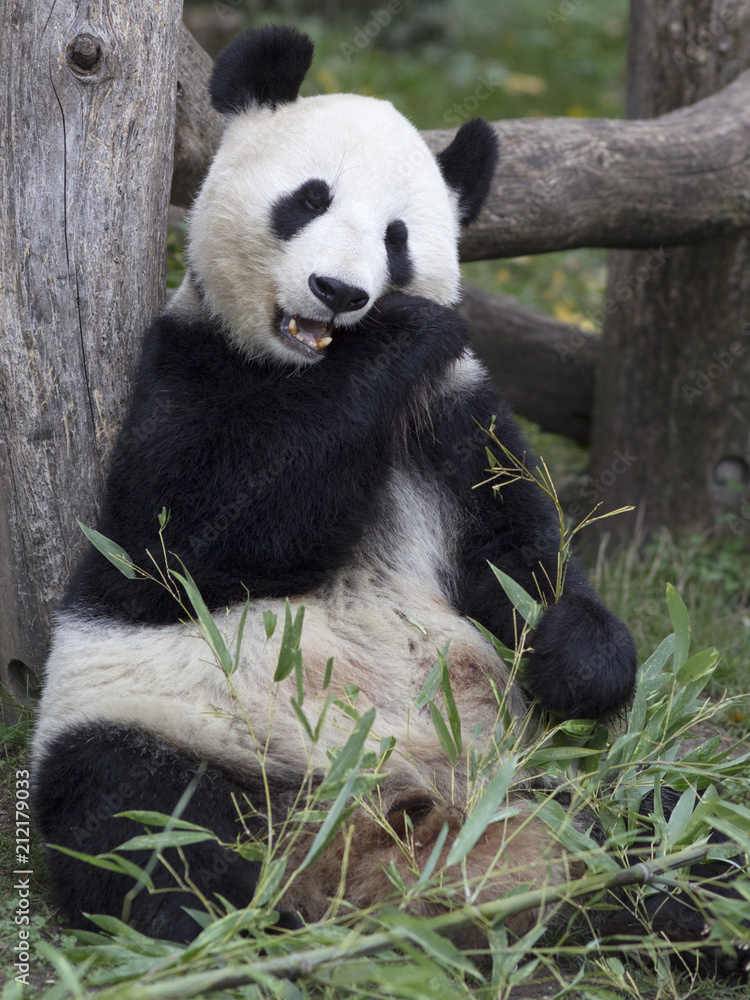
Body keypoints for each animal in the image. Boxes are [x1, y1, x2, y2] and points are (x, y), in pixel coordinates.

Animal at [31, 26, 642, 945]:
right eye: (309, 199)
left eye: (396, 237)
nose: (339, 292)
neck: (308, 373)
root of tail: (364, 829)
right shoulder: (185, 373)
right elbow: (181, 543)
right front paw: (402, 329)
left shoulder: (451, 420)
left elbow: (520, 554)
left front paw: (579, 657)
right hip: (160, 723)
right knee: (132, 814)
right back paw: (235, 914)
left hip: (521, 772)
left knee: (651, 820)